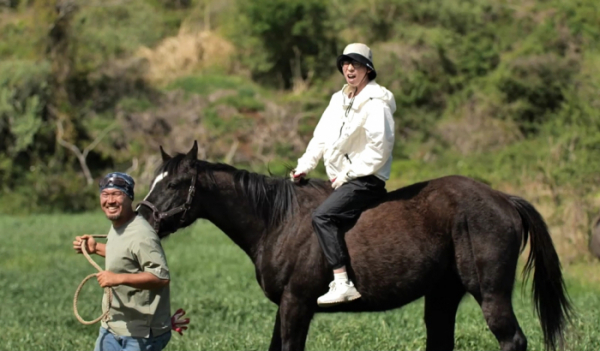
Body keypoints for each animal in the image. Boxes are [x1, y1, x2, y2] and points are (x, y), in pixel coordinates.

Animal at [137, 143, 572, 351]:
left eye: (175, 183)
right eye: (155, 179)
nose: (142, 215)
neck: (278, 220)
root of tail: (504, 199)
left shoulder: (297, 304)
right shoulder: (286, 307)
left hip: (490, 293)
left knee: (512, 340)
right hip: (443, 295)